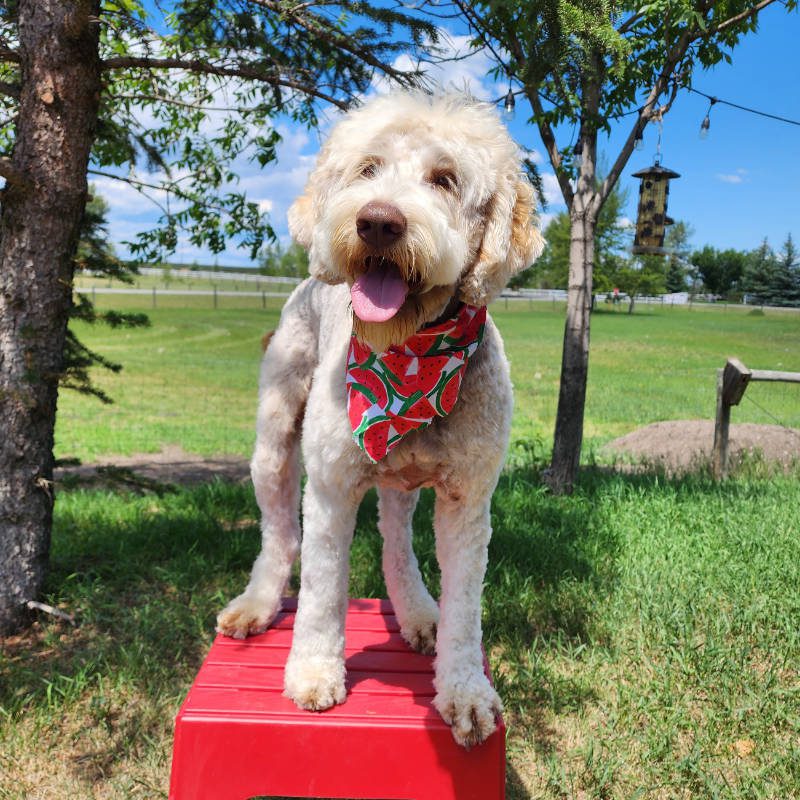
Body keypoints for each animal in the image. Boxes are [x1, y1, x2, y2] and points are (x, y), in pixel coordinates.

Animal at [219, 94, 544, 752]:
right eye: (367, 169)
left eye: (445, 179)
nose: (378, 222)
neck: (410, 357)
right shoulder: (331, 487)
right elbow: (323, 591)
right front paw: (314, 673)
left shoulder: (469, 500)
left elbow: (466, 608)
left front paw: (464, 691)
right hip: (275, 439)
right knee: (280, 536)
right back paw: (257, 604)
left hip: (404, 485)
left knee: (396, 542)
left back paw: (418, 611)